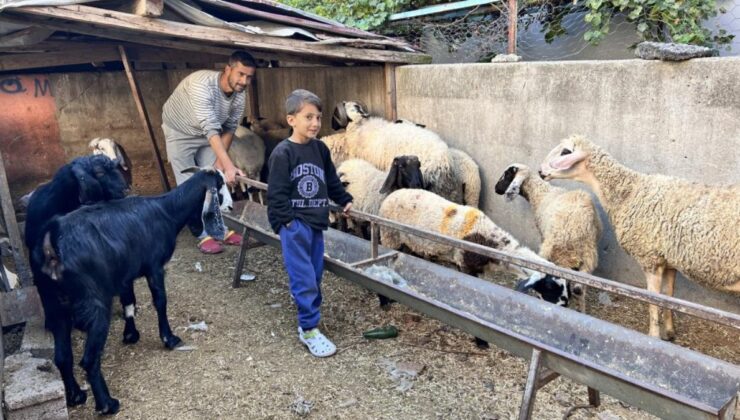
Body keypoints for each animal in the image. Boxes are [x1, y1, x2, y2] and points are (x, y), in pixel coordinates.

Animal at [30, 167, 233, 414]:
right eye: (221, 185)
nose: (231, 206)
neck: (167, 210)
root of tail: (51, 244)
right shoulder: (154, 266)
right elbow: (160, 301)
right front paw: (169, 338)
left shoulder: (125, 274)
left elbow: (129, 302)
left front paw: (131, 335)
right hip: (94, 303)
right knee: (89, 359)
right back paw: (108, 404)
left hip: (54, 304)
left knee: (62, 356)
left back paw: (76, 396)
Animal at [494, 164, 604, 312]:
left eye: (506, 175)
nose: (496, 189)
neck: (540, 194)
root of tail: (578, 230)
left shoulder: (542, 235)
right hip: (588, 259)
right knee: (579, 290)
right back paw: (580, 310)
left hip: (555, 251)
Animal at [536, 136, 740, 340]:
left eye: (565, 152)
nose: (540, 171)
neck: (629, 191)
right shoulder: (669, 261)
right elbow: (668, 295)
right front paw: (669, 332)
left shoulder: (650, 258)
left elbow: (653, 302)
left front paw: (654, 336)